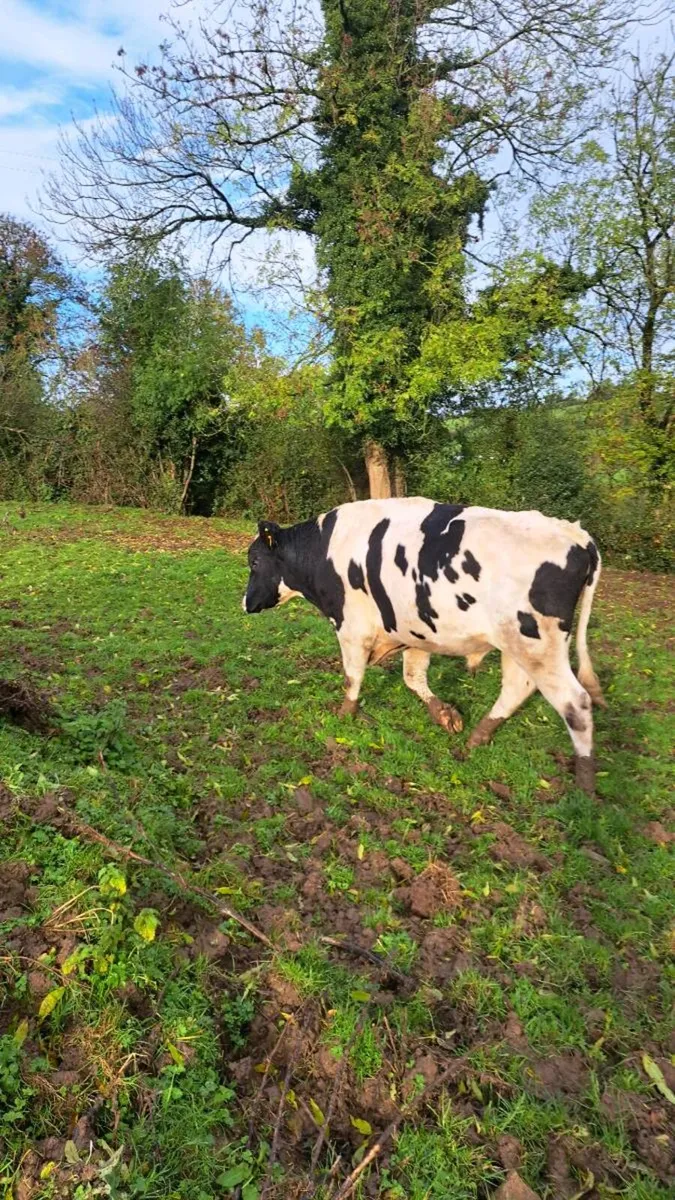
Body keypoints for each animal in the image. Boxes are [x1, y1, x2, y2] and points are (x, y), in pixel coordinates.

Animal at [242, 498, 605, 794]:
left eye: (255, 562)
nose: (245, 603)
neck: (325, 549)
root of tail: (574, 533)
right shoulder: (416, 631)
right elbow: (413, 677)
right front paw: (444, 713)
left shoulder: (352, 627)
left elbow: (352, 676)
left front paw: (344, 715)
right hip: (517, 646)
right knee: (518, 688)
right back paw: (478, 736)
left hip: (537, 647)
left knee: (575, 703)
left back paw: (585, 783)